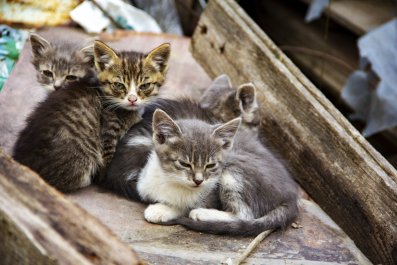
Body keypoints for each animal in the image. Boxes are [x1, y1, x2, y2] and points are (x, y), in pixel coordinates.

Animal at [12, 40, 170, 191]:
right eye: (118, 85)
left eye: (145, 86)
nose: (132, 99)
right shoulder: (108, 132)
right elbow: (108, 159)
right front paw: (105, 179)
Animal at [136, 109, 296, 235]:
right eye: (184, 164)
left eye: (210, 165)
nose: (198, 180)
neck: (171, 180)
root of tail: (290, 196)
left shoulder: (211, 195)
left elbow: (187, 205)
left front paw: (162, 210)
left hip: (234, 170)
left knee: (245, 214)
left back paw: (202, 213)